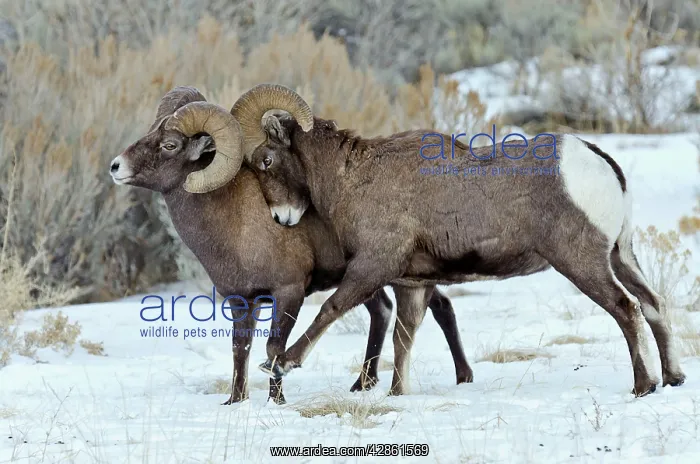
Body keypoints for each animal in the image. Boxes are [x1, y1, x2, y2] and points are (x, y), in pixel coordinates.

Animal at [109, 86, 474, 403]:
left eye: (169, 145)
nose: (115, 167)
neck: (232, 220)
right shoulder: (242, 301)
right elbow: (240, 351)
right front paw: (235, 401)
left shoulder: (288, 292)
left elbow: (274, 349)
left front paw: (277, 401)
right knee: (397, 310)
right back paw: (365, 384)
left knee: (428, 310)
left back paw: (461, 377)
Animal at [217, 83, 686, 398]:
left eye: (265, 160)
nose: (281, 218)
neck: (351, 178)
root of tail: (596, 160)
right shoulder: (413, 285)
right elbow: (403, 339)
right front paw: (396, 394)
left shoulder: (372, 268)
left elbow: (330, 310)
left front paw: (281, 364)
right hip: (621, 255)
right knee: (652, 304)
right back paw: (673, 378)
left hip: (582, 262)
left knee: (626, 309)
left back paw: (643, 386)